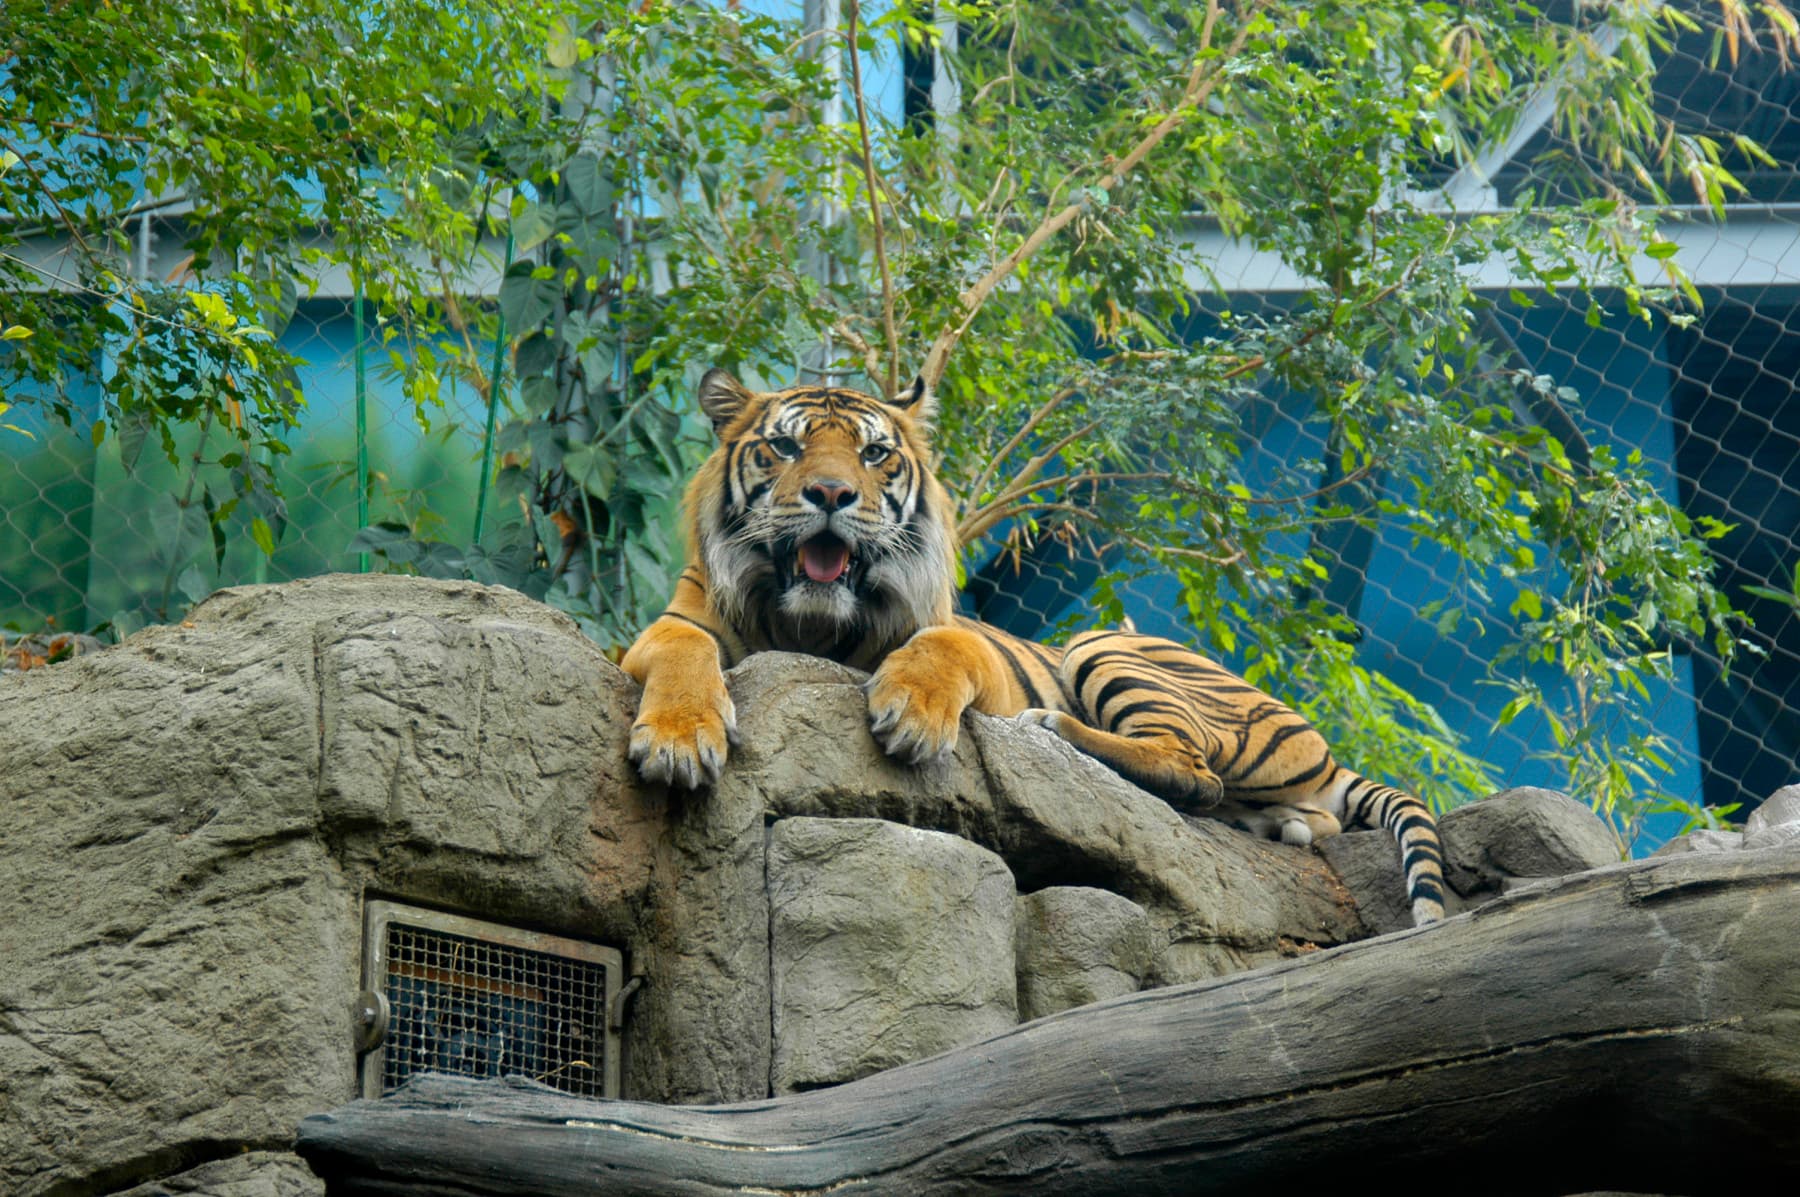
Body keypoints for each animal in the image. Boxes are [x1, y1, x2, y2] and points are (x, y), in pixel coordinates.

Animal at [620, 369, 1447, 925]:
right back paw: (1283, 824)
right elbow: (683, 652)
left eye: (875, 455)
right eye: (784, 448)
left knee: (1192, 765)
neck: (811, 622)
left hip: (1102, 643)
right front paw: (679, 741)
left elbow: (942, 650)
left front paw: (911, 715)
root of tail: (1324, 748)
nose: (830, 494)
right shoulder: (676, 624)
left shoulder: (972, 650)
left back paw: (1054, 730)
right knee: (1250, 798)